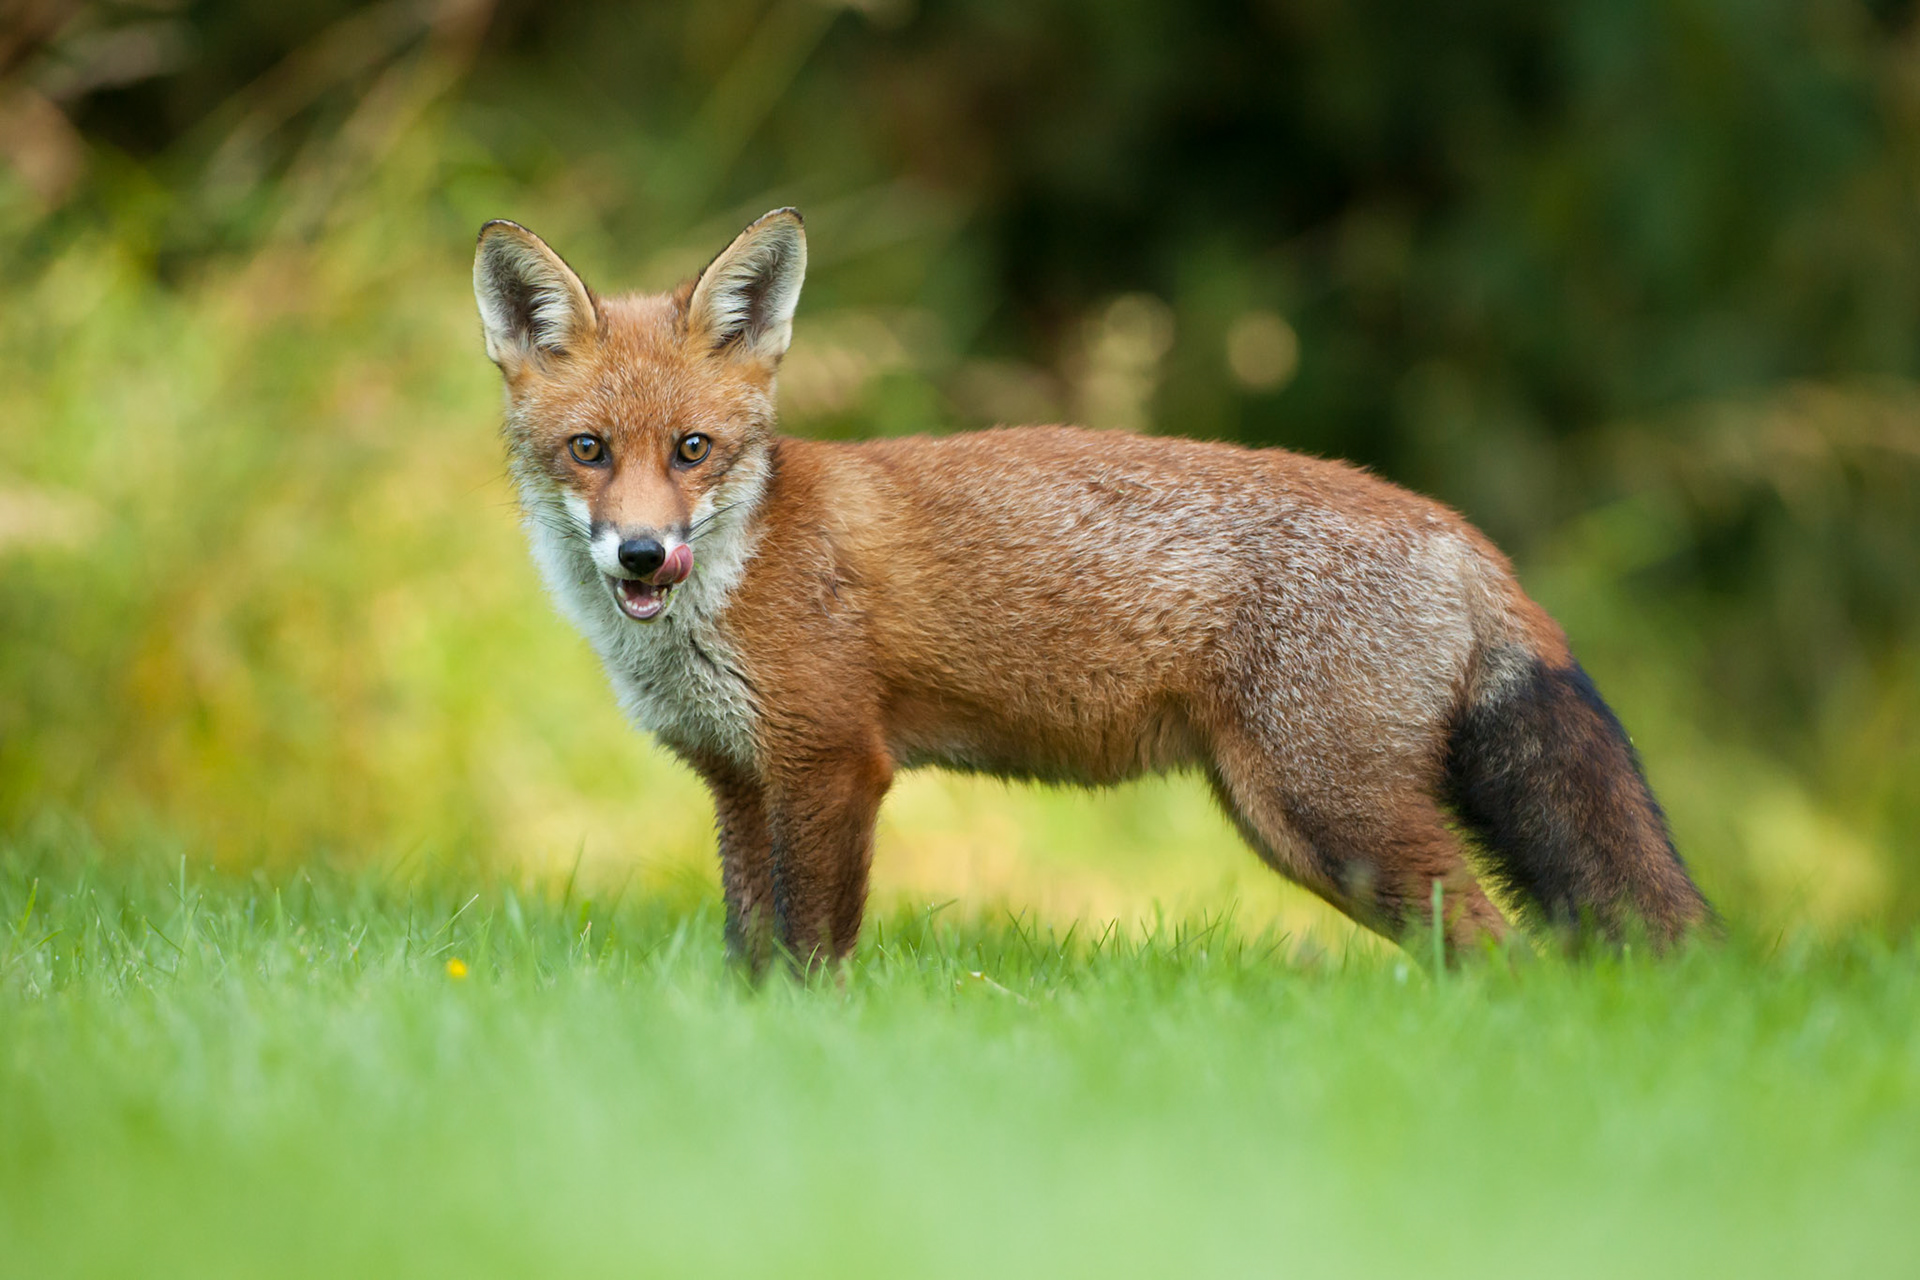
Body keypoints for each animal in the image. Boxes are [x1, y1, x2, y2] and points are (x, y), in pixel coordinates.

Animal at [472, 207, 1714, 970]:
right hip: (1299, 825)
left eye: (692, 450)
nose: (643, 554)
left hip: (1333, 815)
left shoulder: (834, 763)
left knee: (1503, 951)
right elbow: (750, 954)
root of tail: (1461, 533)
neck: (732, 578)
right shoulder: (740, 779)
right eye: (589, 451)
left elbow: (813, 958)